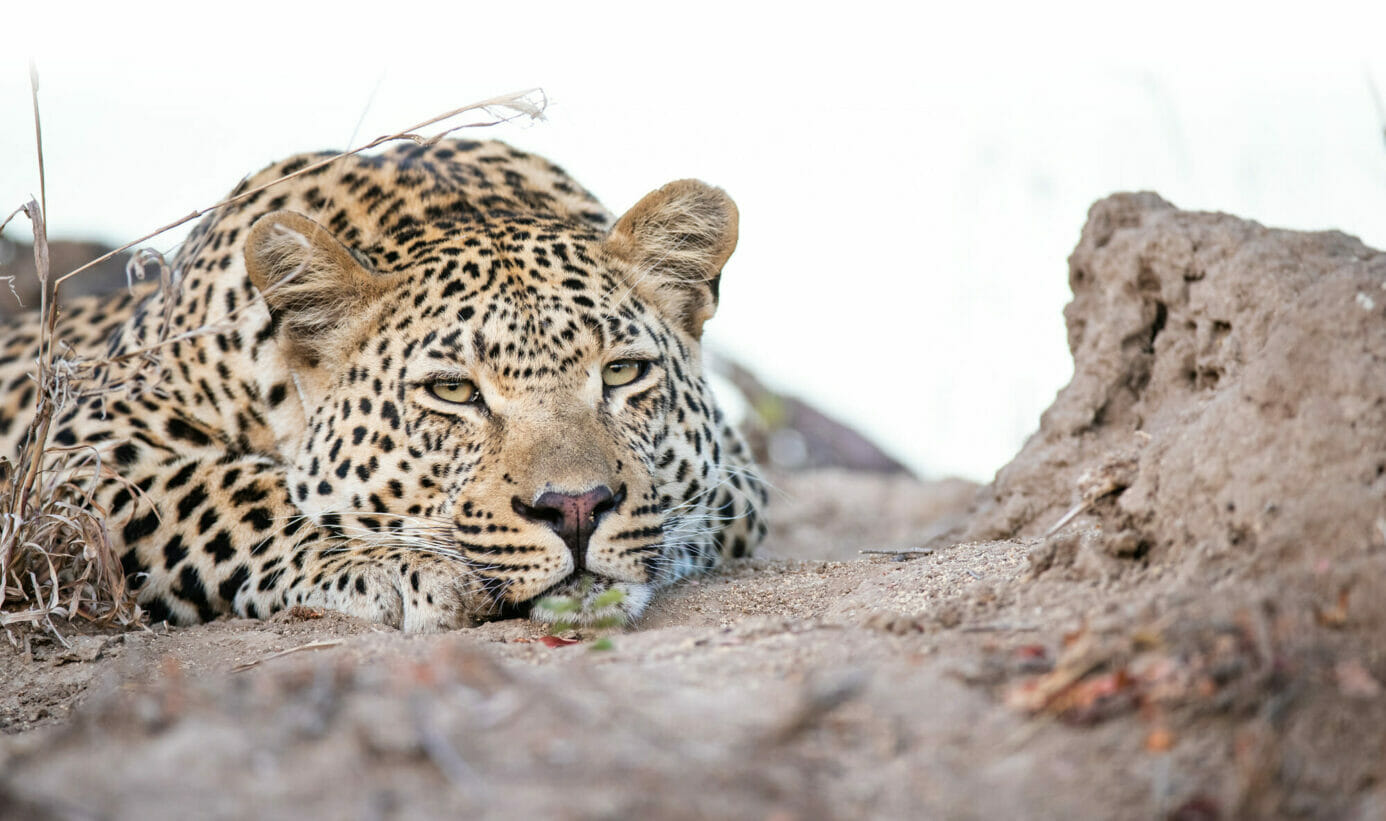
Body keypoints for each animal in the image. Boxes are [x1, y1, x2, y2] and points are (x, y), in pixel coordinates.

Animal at [0, 139, 768, 633]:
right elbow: (237, 495)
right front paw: (402, 564)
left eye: (622, 372)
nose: (577, 509)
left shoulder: (736, 467)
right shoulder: (80, 444)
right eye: (454, 392)